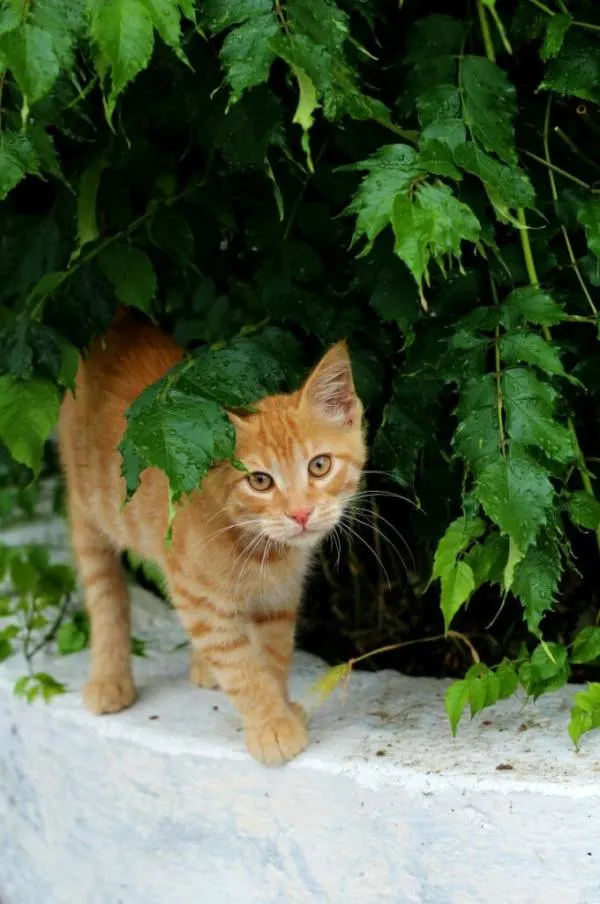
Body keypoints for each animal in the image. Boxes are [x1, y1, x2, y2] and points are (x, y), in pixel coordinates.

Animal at [59, 310, 366, 764]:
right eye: (260, 481)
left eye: (319, 465)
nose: (300, 513)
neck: (258, 546)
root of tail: (121, 322)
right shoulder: (196, 594)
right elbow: (239, 665)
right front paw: (271, 724)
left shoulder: (278, 598)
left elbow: (273, 652)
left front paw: (279, 703)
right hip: (88, 510)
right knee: (105, 591)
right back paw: (110, 677)